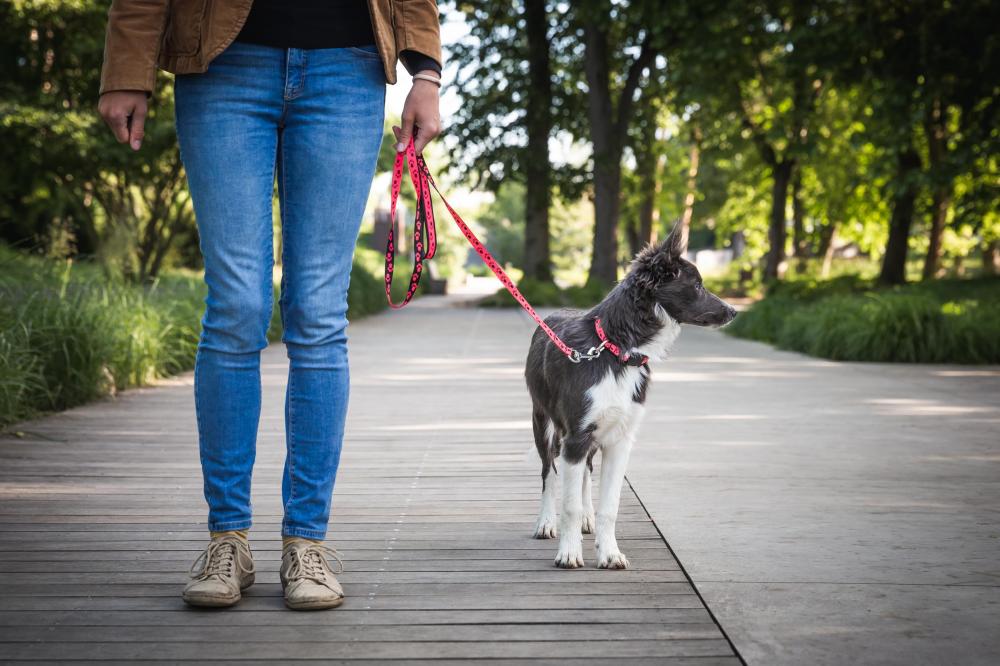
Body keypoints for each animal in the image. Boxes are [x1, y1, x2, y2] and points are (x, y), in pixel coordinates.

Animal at [524, 228, 736, 564]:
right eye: (698, 286)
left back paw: (587, 517)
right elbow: (568, 504)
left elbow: (609, 506)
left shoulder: (619, 439)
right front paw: (569, 553)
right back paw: (546, 522)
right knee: (549, 470)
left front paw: (609, 553)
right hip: (542, 421)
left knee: (585, 472)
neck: (616, 350)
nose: (734, 311)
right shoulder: (576, 434)